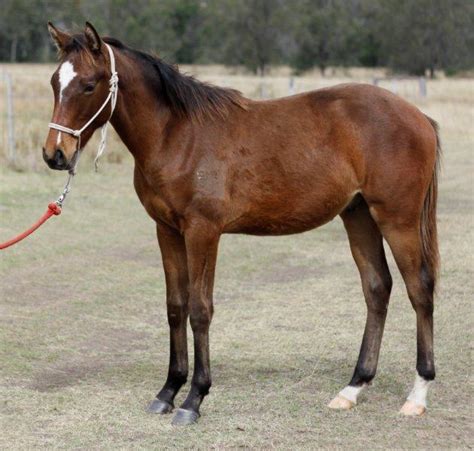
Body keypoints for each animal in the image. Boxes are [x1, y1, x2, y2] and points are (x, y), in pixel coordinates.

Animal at [42, 23, 438, 426]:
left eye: (89, 85)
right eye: (55, 82)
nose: (55, 154)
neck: (177, 135)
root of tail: (418, 116)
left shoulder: (203, 232)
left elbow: (200, 310)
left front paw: (193, 399)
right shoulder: (166, 230)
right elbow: (175, 307)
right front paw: (168, 391)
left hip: (397, 219)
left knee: (419, 290)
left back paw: (418, 394)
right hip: (358, 215)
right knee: (377, 288)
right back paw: (353, 388)